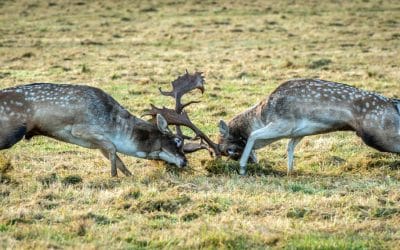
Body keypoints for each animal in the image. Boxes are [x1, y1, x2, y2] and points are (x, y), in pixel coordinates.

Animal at [219, 79, 400, 175]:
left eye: (228, 147)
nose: (221, 153)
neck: (262, 115)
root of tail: (392, 102)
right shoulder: (298, 132)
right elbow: (289, 146)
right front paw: (289, 171)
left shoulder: (284, 124)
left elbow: (253, 135)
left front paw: (242, 169)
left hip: (379, 134)